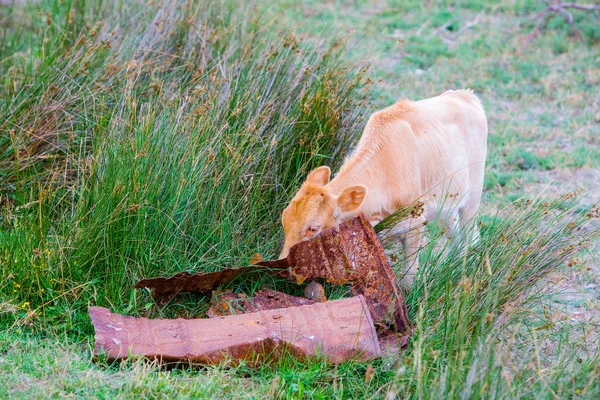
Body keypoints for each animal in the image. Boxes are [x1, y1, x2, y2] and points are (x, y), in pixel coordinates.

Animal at [282, 90, 488, 284]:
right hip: (447, 209)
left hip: (472, 199)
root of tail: (465, 94)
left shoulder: (415, 224)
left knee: (471, 236)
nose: (284, 267)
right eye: (284, 220)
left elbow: (408, 277)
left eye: (313, 228)